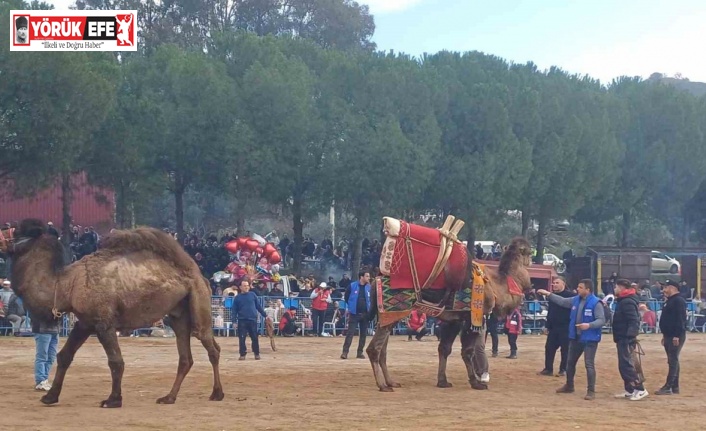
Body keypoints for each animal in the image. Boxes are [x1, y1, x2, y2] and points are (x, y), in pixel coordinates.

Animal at [0, 219, 223, 408]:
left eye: (15, 231)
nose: (2, 237)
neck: (66, 286)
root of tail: (199, 275)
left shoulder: (103, 323)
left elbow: (116, 361)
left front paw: (113, 400)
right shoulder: (85, 322)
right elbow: (64, 356)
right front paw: (50, 397)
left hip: (199, 302)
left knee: (211, 347)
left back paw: (217, 394)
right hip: (178, 314)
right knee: (185, 357)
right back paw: (169, 397)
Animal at [366, 216, 524, 392]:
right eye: (526, 250)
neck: (495, 286)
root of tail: (375, 281)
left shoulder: (453, 320)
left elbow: (444, 348)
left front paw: (443, 381)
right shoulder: (471, 318)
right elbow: (467, 351)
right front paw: (476, 383)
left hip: (389, 315)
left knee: (383, 350)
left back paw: (391, 382)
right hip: (391, 312)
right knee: (374, 349)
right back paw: (382, 385)